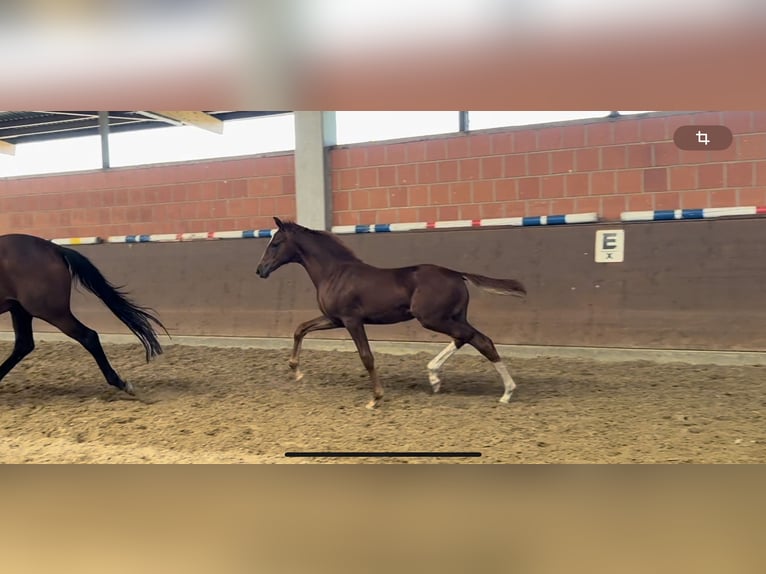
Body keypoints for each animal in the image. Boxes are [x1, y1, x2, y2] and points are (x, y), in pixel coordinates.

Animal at [0, 234, 168, 396]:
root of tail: (55, 249)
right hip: (21, 309)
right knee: (24, 344)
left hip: (51, 311)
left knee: (89, 336)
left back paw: (120, 383)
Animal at [258, 217, 528, 410]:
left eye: (276, 243)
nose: (260, 270)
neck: (335, 272)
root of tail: (457, 274)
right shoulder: (334, 319)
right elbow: (300, 328)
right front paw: (297, 371)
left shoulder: (351, 320)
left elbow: (366, 357)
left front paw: (376, 398)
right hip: (453, 317)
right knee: (465, 338)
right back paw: (435, 378)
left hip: (432, 319)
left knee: (481, 340)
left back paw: (507, 392)